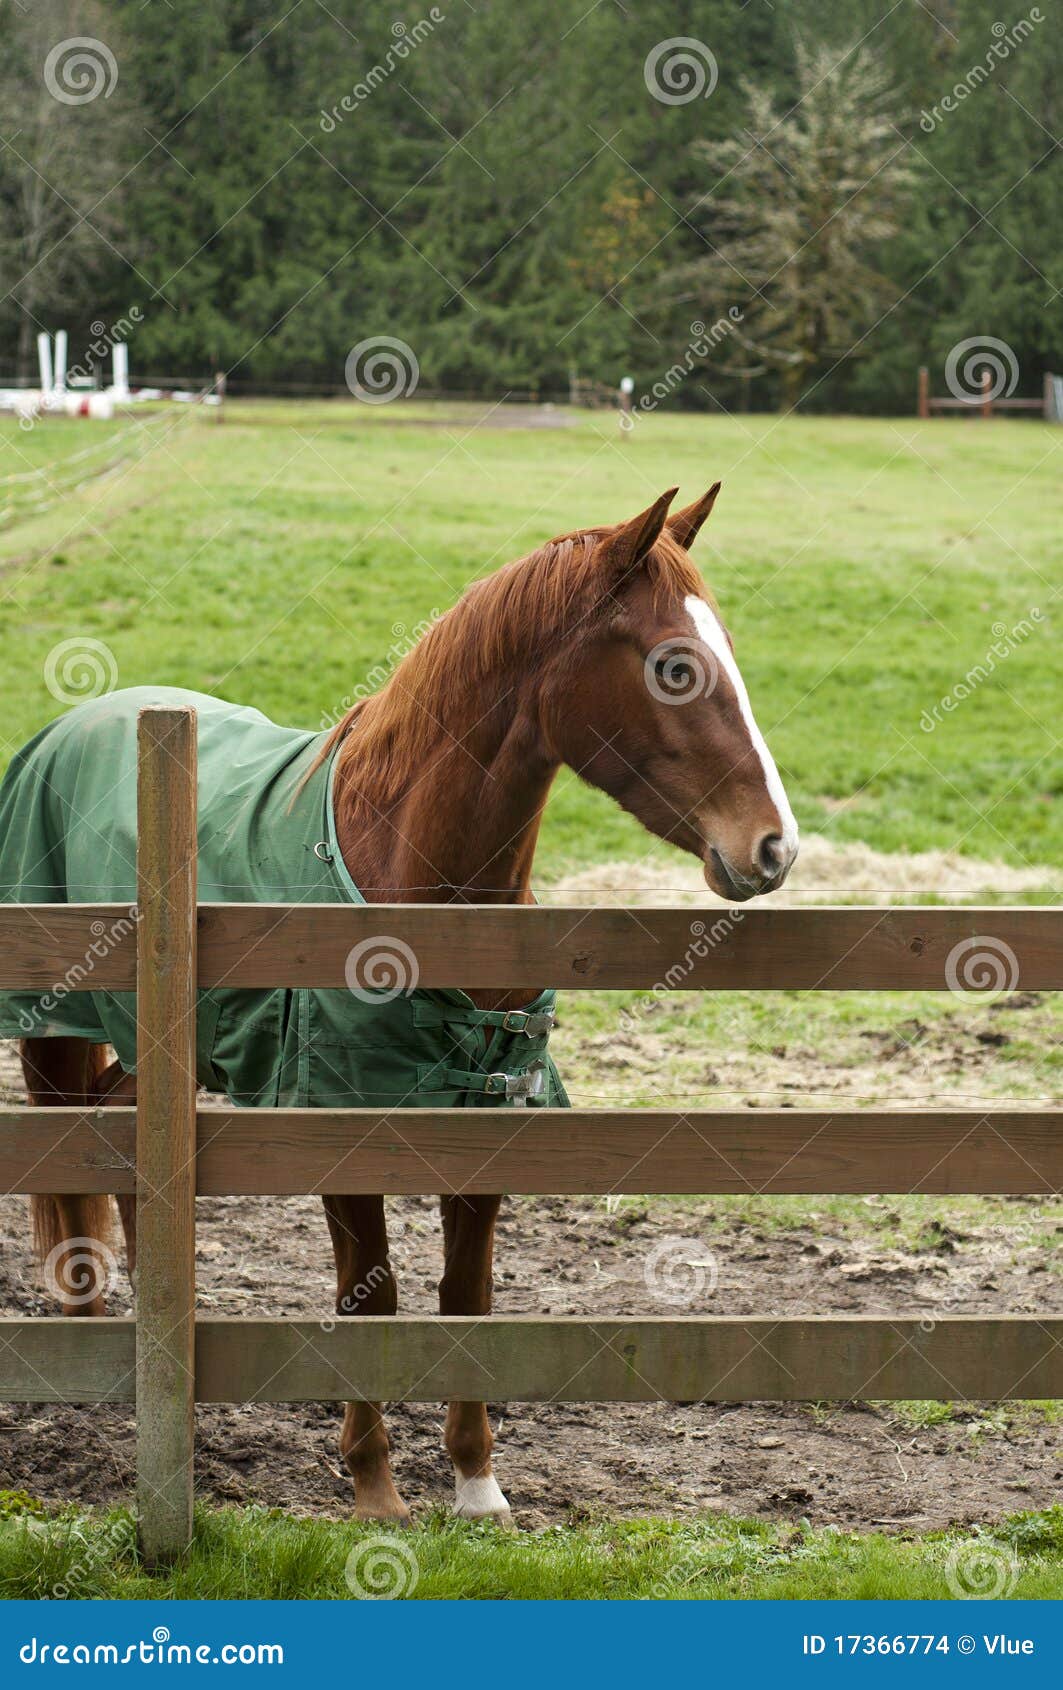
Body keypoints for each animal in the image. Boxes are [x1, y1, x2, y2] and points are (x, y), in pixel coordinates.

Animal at [20, 483, 797, 1527]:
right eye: (674, 666)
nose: (774, 846)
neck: (410, 883)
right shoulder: (341, 1131)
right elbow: (370, 1302)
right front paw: (375, 1493)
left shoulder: (485, 1126)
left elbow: (466, 1298)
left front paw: (475, 1485)